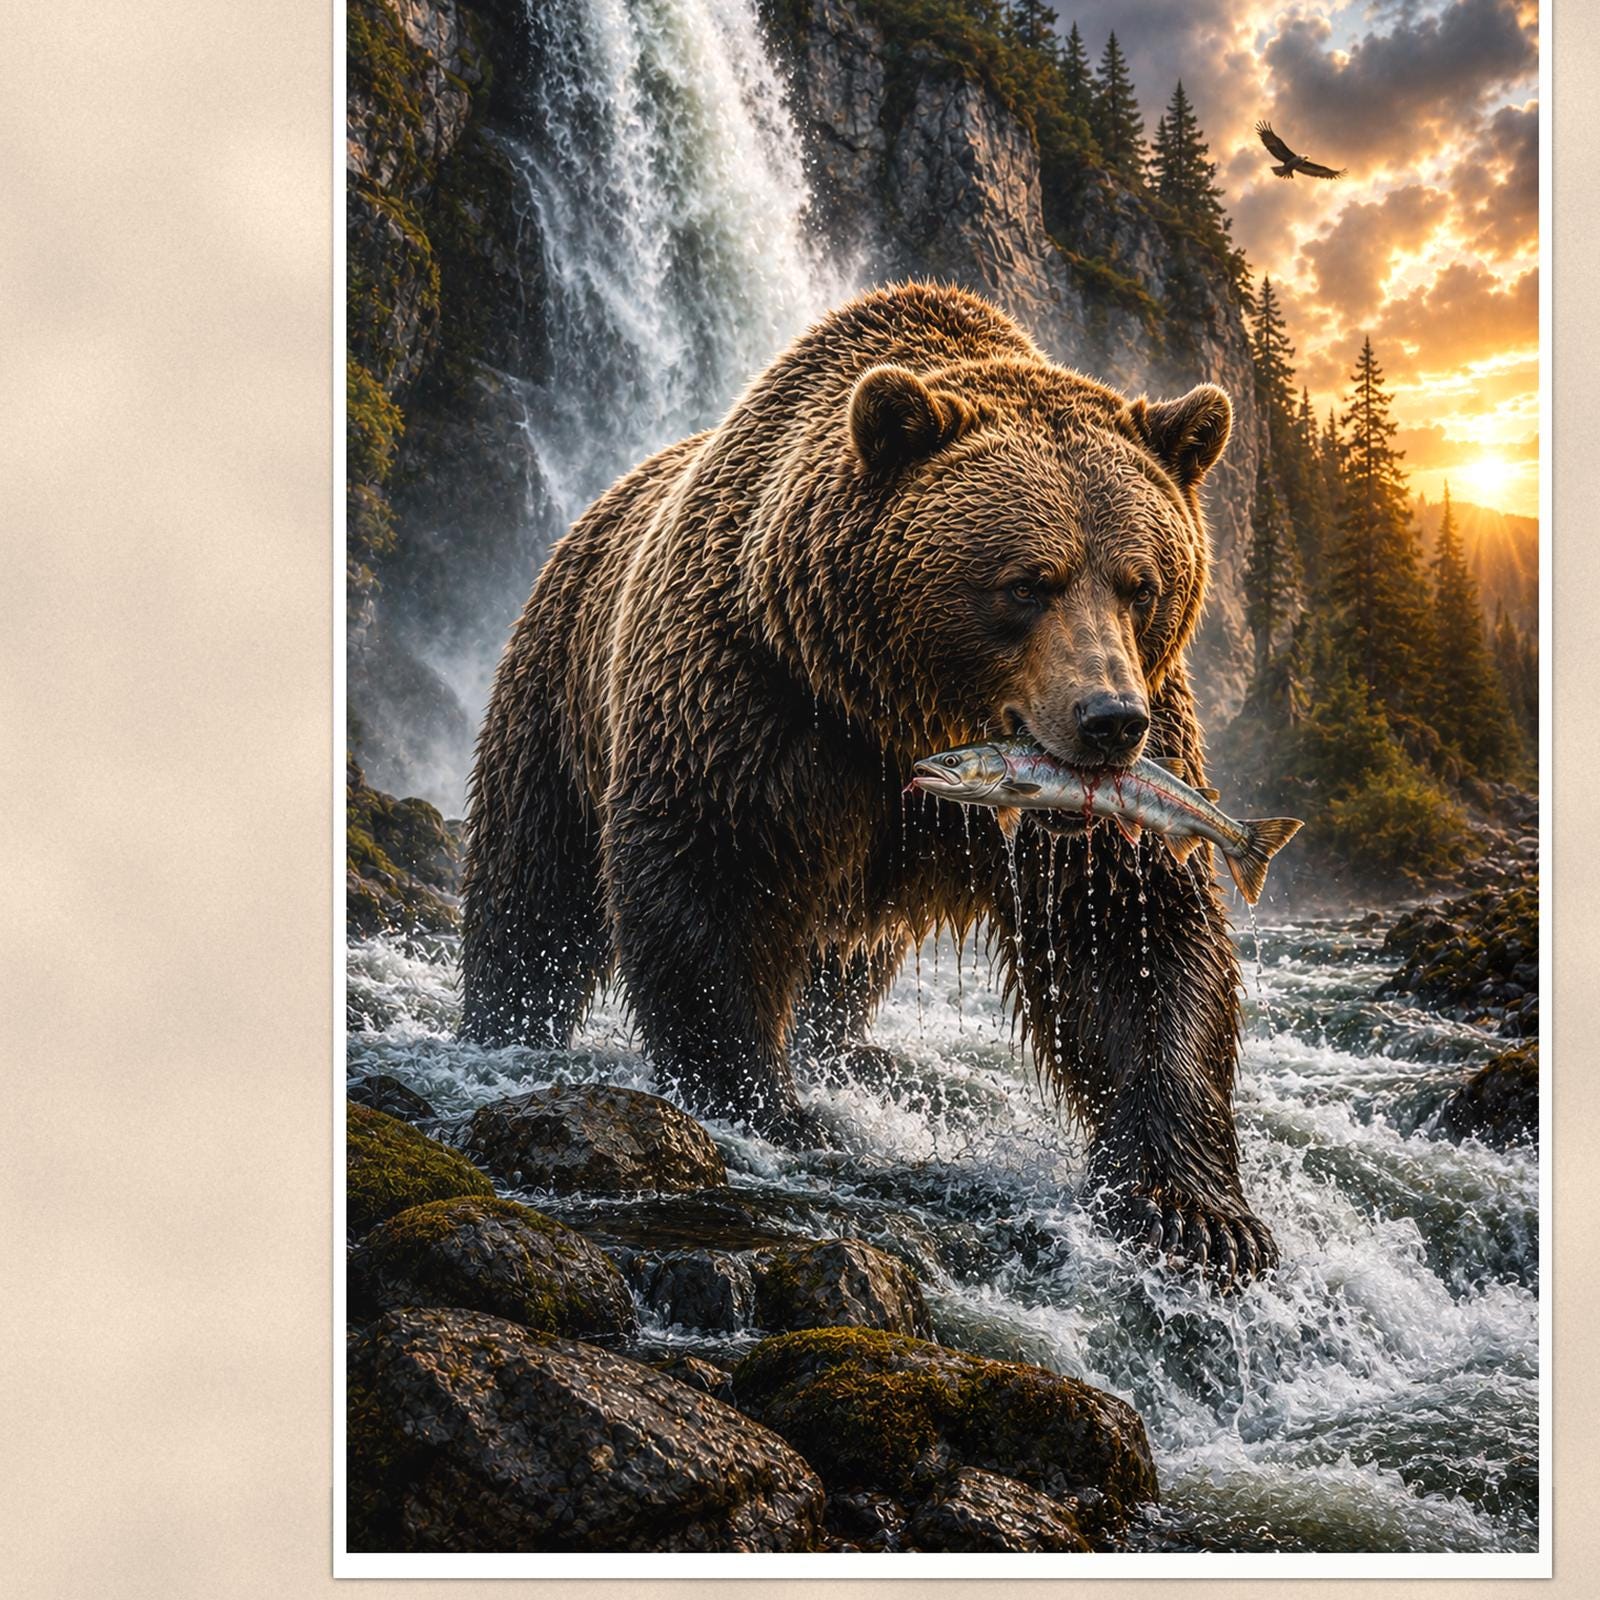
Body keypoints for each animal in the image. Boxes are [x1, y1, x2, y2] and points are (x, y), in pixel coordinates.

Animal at [461, 282, 1277, 1284]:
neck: (895, 707)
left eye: (1142, 583)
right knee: (532, 884)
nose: (1109, 722)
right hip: (557, 687)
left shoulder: (1124, 776)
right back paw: (507, 1023)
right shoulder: (756, 699)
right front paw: (767, 1104)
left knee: (839, 965)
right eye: (1027, 583)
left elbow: (1135, 935)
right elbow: (709, 885)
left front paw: (1196, 1213)